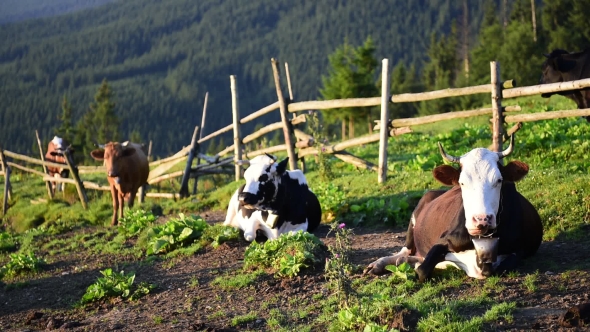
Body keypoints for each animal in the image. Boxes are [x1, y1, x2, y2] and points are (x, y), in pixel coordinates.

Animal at [366, 136, 544, 282]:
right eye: (462, 182)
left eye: (499, 180)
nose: (481, 220)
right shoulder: (444, 240)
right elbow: (423, 270)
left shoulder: (519, 250)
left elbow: (498, 268)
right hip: (414, 219)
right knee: (404, 250)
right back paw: (379, 264)